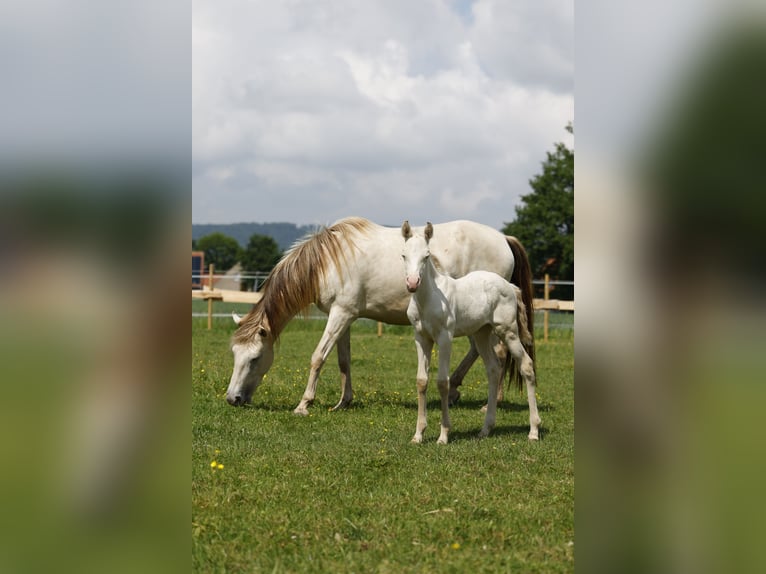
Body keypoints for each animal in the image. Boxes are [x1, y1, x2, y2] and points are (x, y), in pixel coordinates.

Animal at [224, 218, 536, 416]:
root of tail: (504, 238)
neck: (328, 261)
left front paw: (304, 404)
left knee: (498, 354)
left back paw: (489, 402)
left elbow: (318, 357)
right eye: (234, 355)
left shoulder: (340, 314)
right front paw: (343, 402)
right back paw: (456, 389)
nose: (232, 398)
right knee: (478, 352)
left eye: (255, 358)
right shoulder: (346, 316)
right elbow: (343, 360)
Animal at [402, 222, 540, 446]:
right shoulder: (421, 338)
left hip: (508, 331)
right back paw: (485, 429)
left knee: (526, 365)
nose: (412, 283)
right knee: (493, 369)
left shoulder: (445, 338)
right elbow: (422, 381)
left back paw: (534, 431)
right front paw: (418, 435)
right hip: (482, 334)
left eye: (426, 255)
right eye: (403, 255)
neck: (429, 298)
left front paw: (443, 435)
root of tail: (510, 286)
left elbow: (442, 382)